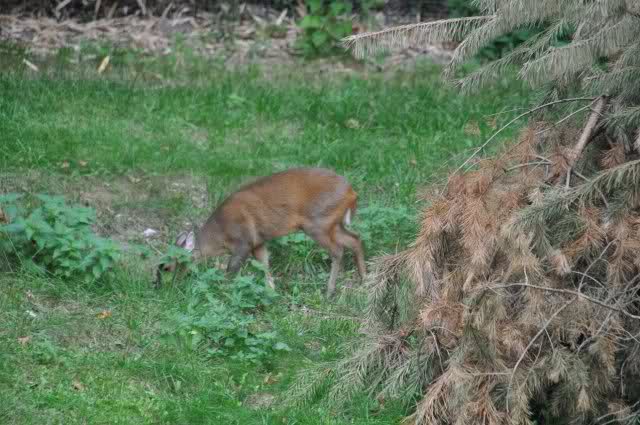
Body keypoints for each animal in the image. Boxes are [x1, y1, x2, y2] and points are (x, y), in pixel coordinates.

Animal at [156, 167, 366, 298]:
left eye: (166, 267)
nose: (157, 286)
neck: (219, 236)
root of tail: (352, 193)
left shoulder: (243, 241)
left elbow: (231, 271)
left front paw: (224, 293)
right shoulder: (258, 243)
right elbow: (265, 265)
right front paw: (272, 293)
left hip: (318, 222)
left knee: (338, 250)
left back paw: (329, 292)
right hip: (333, 223)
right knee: (355, 239)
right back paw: (364, 279)